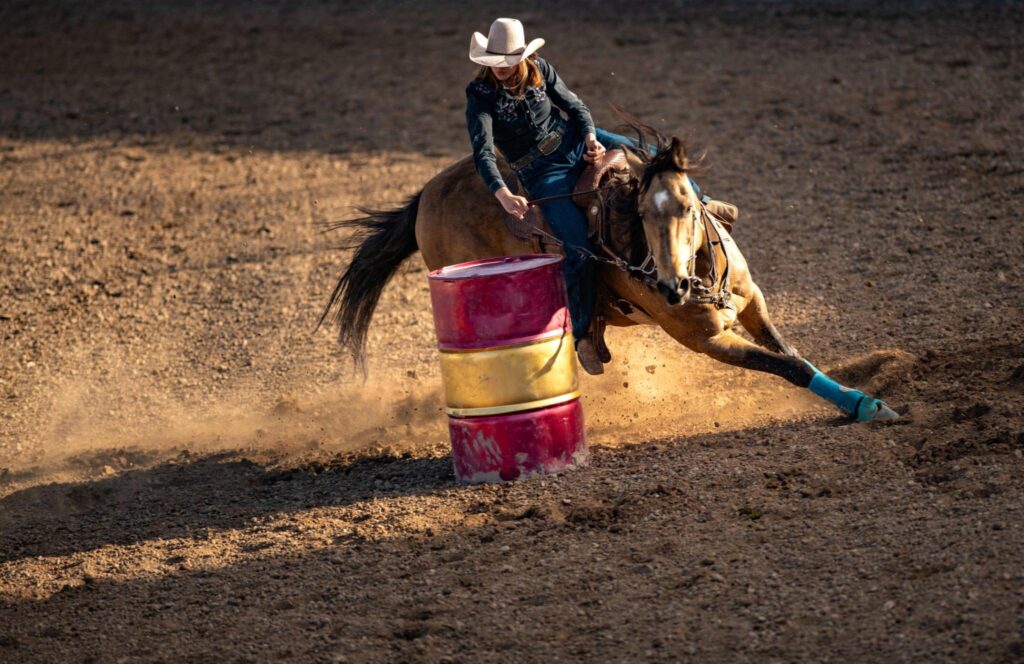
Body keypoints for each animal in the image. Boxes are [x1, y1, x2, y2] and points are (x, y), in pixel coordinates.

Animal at [319, 119, 897, 422]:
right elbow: (786, 366)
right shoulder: (707, 343)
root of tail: (427, 195)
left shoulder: (753, 300)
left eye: (688, 208)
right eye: (642, 214)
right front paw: (868, 407)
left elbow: (793, 354)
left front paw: (858, 393)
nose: (670, 286)